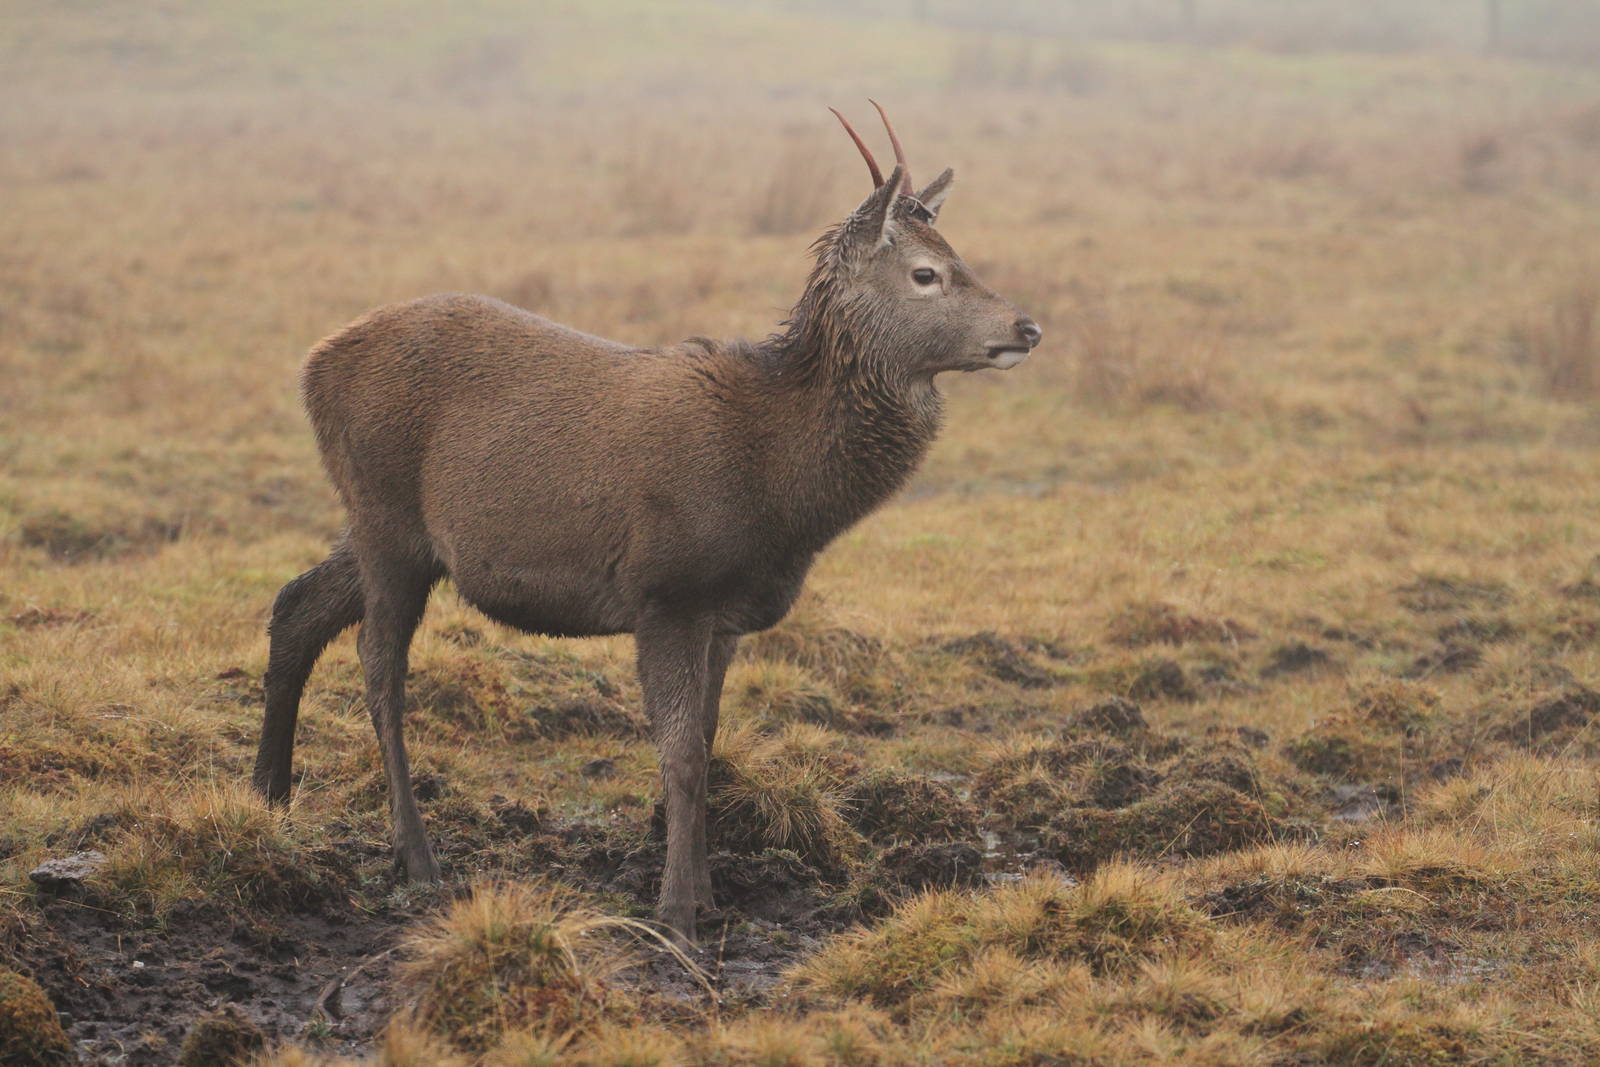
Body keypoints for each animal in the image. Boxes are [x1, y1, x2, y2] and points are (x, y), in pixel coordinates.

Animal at [252, 103, 1041, 942]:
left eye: (958, 255)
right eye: (926, 273)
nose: (1027, 328)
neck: (781, 487)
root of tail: (311, 365)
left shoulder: (727, 611)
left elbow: (708, 737)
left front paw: (709, 892)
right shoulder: (668, 588)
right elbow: (681, 751)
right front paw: (675, 910)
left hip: (389, 527)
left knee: (296, 603)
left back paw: (268, 792)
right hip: (387, 513)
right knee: (380, 669)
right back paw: (418, 858)